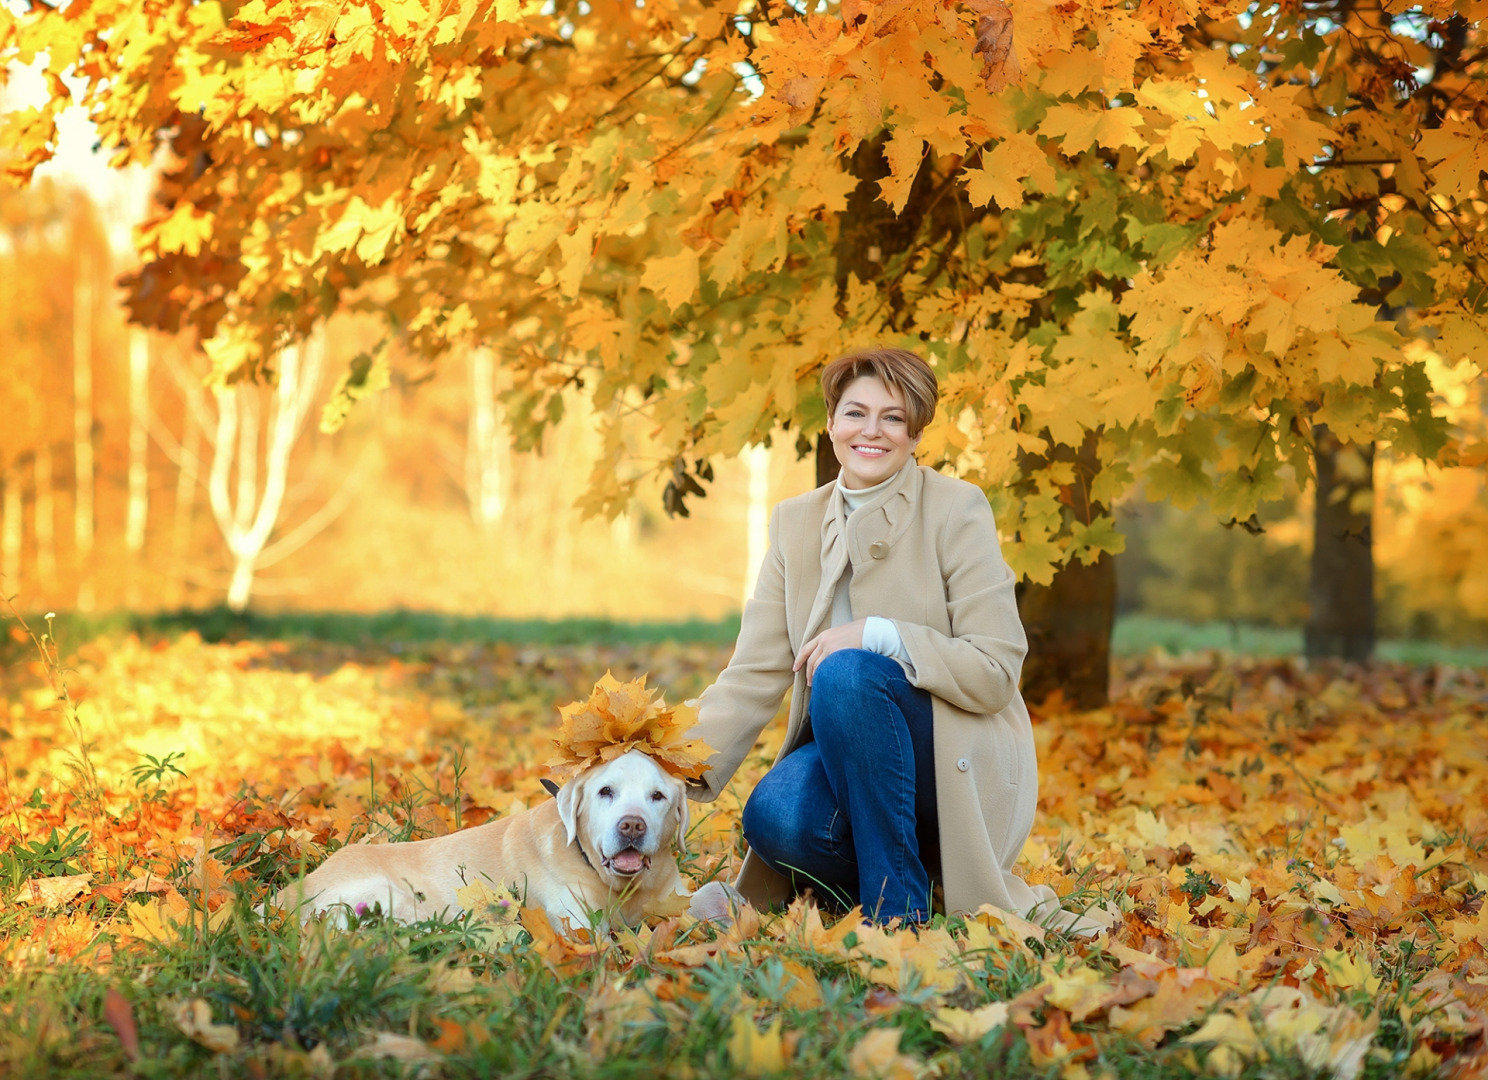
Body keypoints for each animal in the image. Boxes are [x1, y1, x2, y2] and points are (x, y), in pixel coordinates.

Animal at [276, 749, 735, 934]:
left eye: (657, 797)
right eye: (606, 791)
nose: (632, 827)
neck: (625, 889)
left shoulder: (673, 895)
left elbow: (717, 891)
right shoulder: (577, 922)